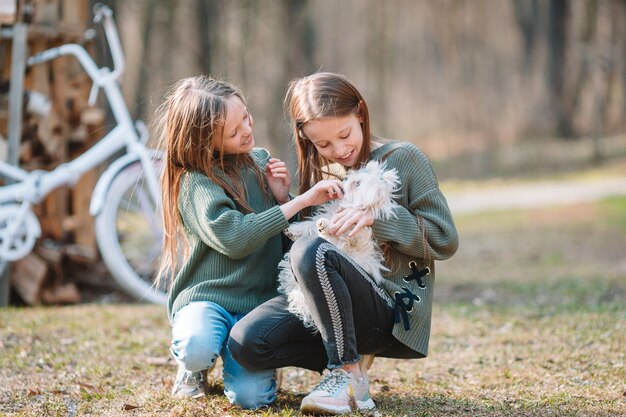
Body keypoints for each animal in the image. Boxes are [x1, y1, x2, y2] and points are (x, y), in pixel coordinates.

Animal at [278, 159, 400, 328]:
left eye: (358, 184)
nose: (349, 177)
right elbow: (310, 225)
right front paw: (293, 230)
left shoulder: (352, 235)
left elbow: (339, 236)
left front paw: (325, 227)